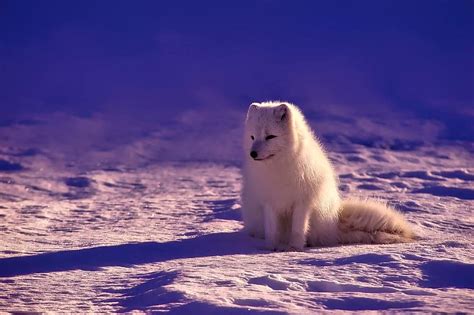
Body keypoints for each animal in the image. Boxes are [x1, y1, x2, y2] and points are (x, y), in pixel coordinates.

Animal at [241, 101, 414, 252]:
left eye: (270, 136)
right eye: (252, 137)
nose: (252, 154)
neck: (278, 168)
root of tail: (335, 223)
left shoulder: (303, 202)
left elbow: (298, 229)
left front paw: (294, 248)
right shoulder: (269, 201)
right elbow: (272, 230)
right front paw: (270, 248)